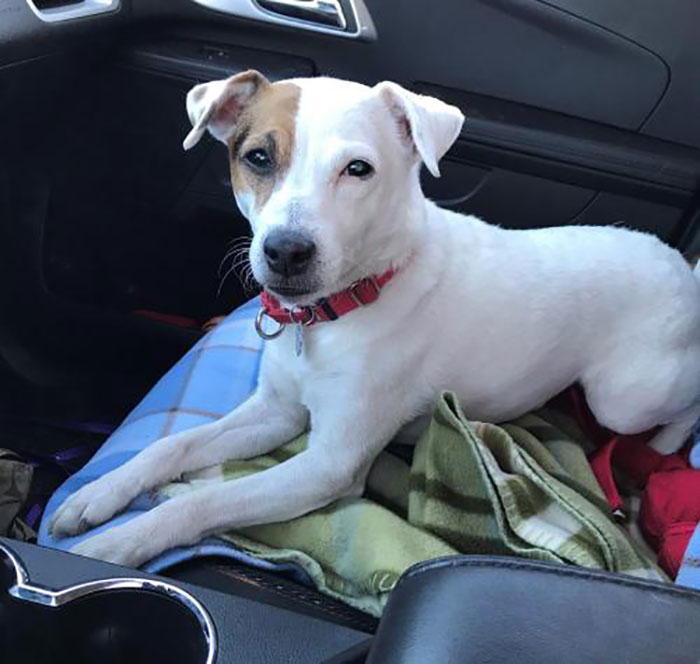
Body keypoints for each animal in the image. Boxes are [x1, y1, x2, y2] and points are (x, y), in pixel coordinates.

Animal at [52, 74, 700, 572]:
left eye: (358, 169)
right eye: (257, 157)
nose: (286, 252)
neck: (337, 312)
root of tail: (680, 264)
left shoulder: (326, 466)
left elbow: (198, 504)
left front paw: (118, 543)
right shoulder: (277, 411)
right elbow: (174, 445)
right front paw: (98, 495)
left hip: (625, 398)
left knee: (680, 405)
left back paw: (668, 447)